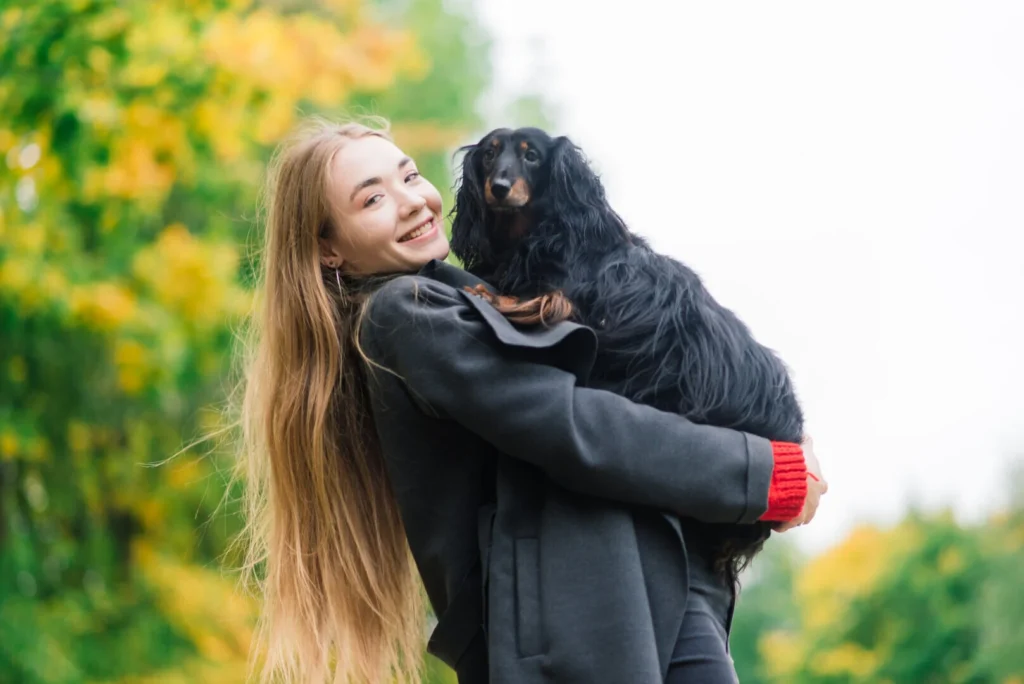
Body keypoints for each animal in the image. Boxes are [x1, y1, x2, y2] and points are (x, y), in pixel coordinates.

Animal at [452, 125, 802, 581]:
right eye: (490, 154)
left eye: (532, 156)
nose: (499, 187)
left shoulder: (570, 299)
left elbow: (538, 298)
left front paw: (491, 295)